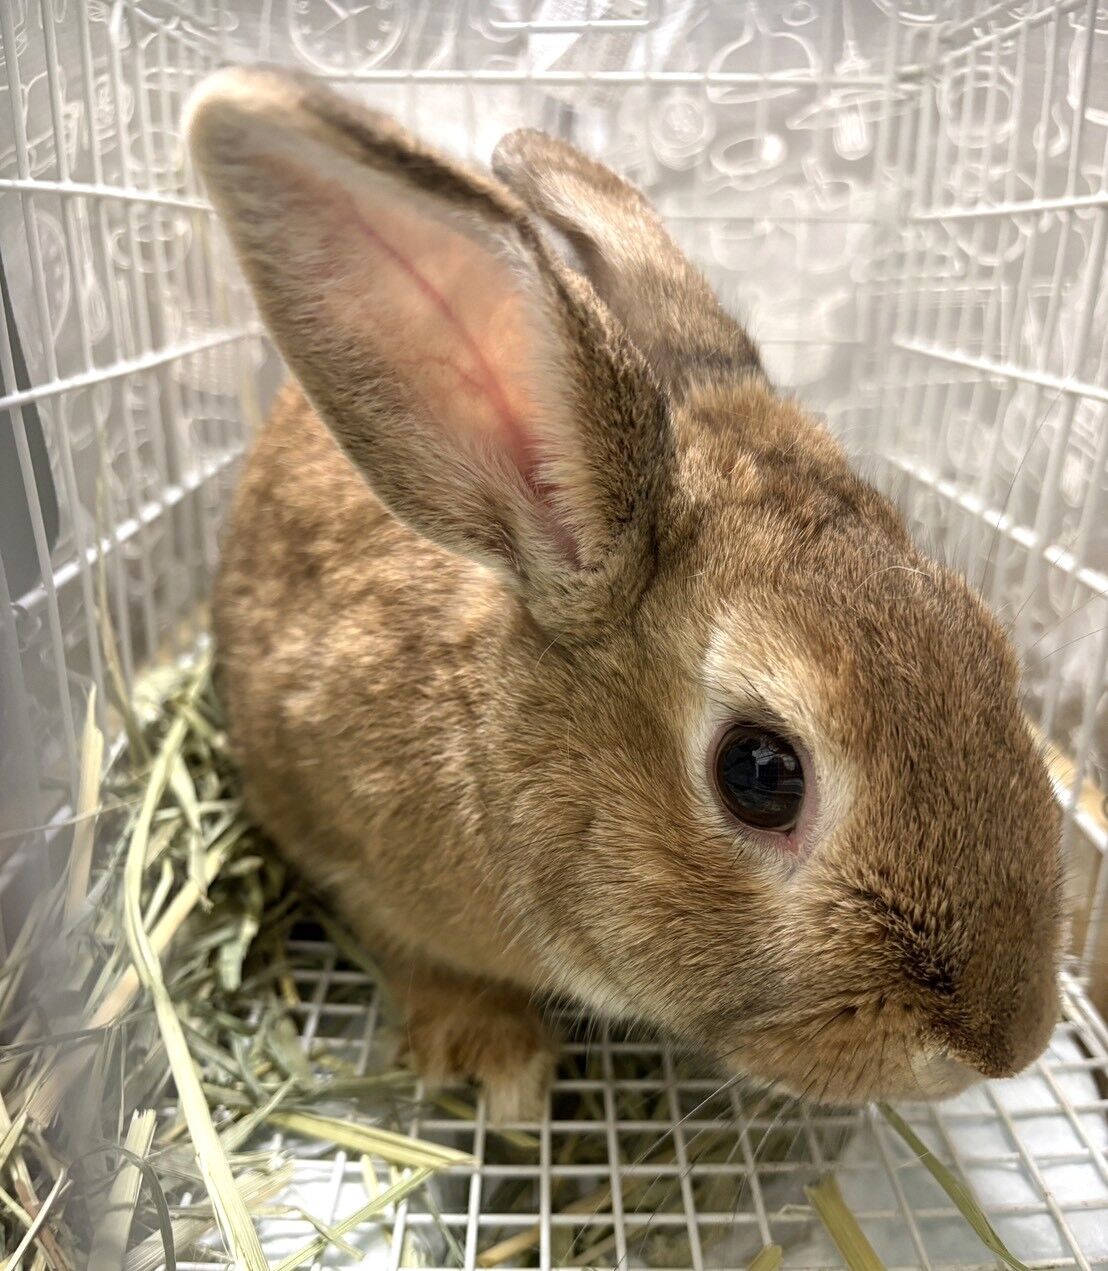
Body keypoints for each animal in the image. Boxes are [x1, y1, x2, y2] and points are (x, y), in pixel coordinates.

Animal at [186, 66, 1064, 1121]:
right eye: (760, 772)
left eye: (987, 640)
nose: (1011, 1040)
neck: (494, 734)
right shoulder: (347, 847)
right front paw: (497, 1061)